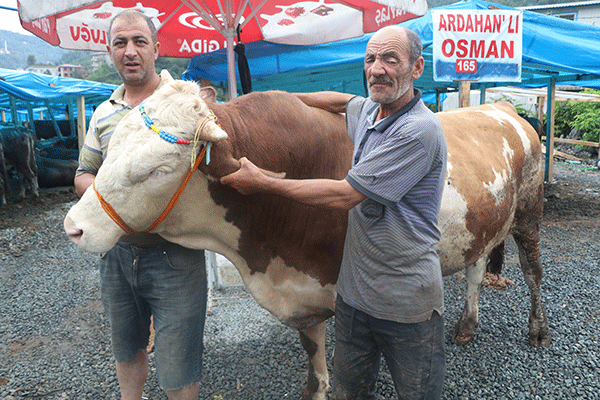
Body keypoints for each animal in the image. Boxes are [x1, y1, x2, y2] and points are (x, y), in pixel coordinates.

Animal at [63, 79, 552, 400]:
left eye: (157, 170)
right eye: (112, 144)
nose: (74, 226)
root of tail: (505, 109)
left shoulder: (348, 297)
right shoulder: (303, 288)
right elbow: (314, 359)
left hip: (528, 214)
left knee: (533, 273)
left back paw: (538, 330)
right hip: (480, 225)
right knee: (474, 268)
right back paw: (467, 325)